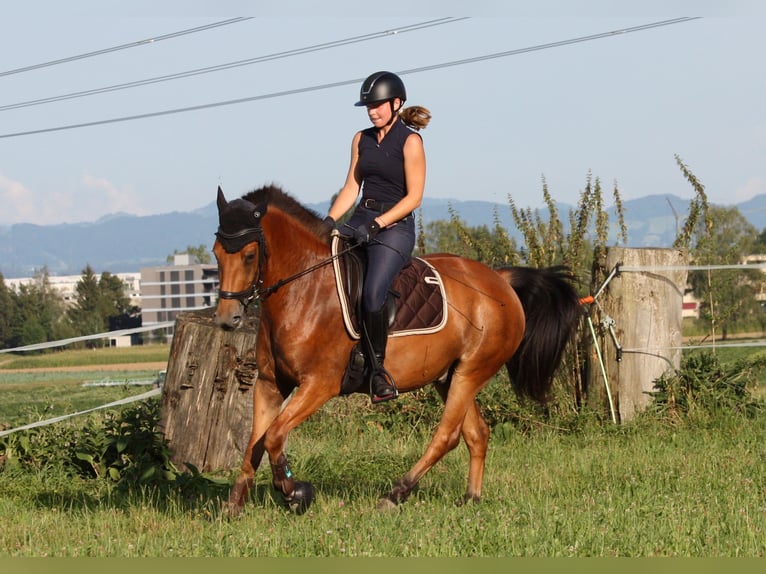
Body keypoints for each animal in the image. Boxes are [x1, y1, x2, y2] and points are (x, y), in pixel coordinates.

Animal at [210, 186, 584, 516]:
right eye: (215, 253)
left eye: (249, 255)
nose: (228, 319)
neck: (305, 290)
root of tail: (499, 279)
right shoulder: (270, 384)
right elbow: (255, 444)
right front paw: (234, 507)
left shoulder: (319, 385)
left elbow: (274, 437)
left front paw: (293, 492)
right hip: (449, 376)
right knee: (477, 433)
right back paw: (471, 499)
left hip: (472, 372)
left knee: (447, 436)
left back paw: (396, 493)